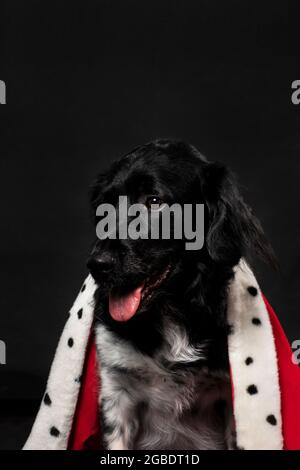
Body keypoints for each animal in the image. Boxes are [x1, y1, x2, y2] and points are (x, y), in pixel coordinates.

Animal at [86, 139, 274, 448]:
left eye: (153, 201)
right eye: (105, 206)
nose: (97, 265)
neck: (171, 314)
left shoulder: (231, 400)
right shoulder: (116, 392)